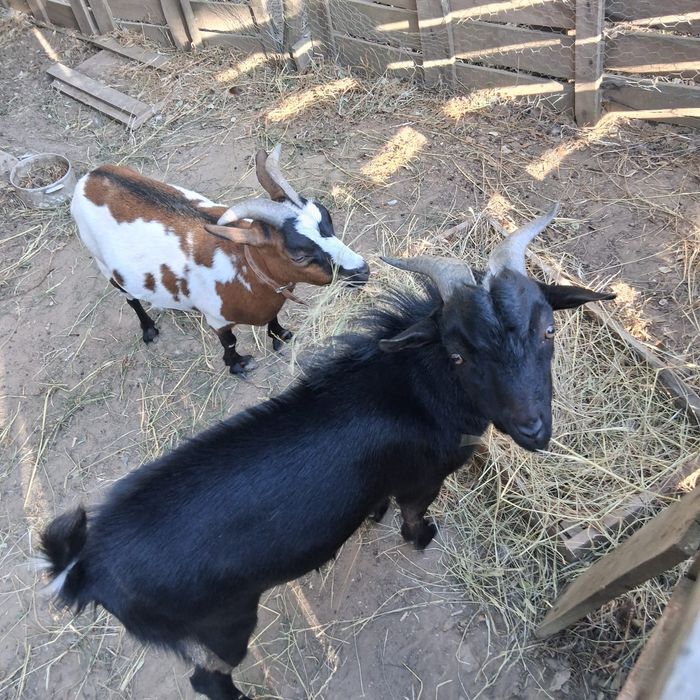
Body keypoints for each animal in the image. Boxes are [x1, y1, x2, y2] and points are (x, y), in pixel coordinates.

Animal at [39, 204, 614, 700]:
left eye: (549, 329)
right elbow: (413, 513)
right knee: (209, 679)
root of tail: (87, 566)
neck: (415, 390)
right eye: (457, 354)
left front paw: (374, 515)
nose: (533, 429)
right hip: (224, 625)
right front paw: (422, 537)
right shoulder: (424, 477)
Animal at [71, 145, 369, 375]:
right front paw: (237, 365)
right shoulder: (217, 318)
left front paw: (281, 337)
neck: (242, 268)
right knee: (130, 298)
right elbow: (230, 342)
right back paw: (148, 330)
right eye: (298, 255)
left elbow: (273, 318)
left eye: (327, 217)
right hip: (104, 264)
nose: (362, 270)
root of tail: (89, 177)